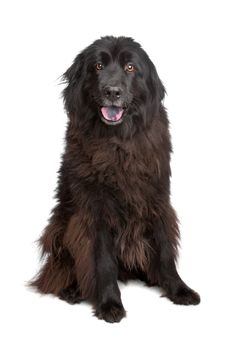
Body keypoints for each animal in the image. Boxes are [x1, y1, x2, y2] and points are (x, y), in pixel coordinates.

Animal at [30, 36, 199, 322]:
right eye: (98, 66)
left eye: (130, 67)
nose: (112, 91)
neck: (118, 142)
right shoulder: (95, 211)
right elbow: (103, 261)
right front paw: (110, 304)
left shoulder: (157, 200)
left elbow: (165, 250)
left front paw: (178, 289)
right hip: (61, 225)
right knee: (61, 269)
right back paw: (73, 290)